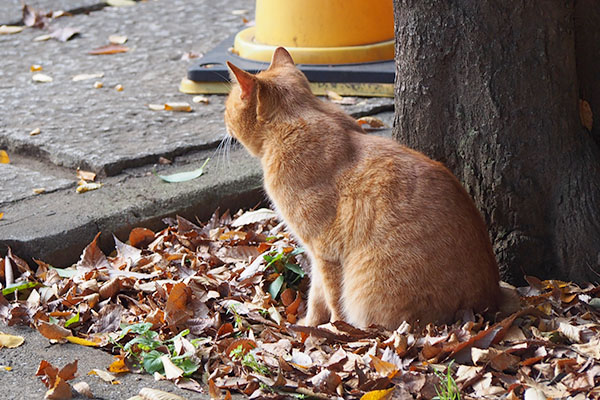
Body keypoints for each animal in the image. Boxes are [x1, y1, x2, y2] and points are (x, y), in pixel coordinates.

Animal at [223, 47, 500, 328]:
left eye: (228, 104)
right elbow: (316, 296)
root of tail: (486, 305)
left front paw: (332, 328)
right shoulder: (317, 255)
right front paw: (310, 325)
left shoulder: (324, 251)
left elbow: (329, 297)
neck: (298, 117)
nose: (224, 120)